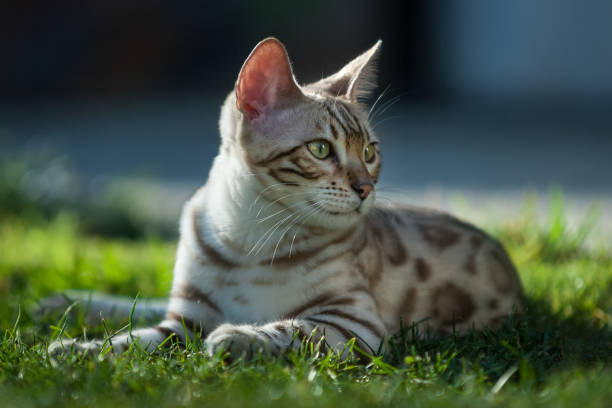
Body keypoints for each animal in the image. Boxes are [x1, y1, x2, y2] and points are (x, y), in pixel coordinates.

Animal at [50, 37, 524, 356]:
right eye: (321, 149)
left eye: (369, 153)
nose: (366, 189)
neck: (246, 240)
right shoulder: (185, 321)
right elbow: (129, 341)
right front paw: (78, 351)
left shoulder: (352, 321)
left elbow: (287, 328)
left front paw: (238, 335)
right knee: (141, 306)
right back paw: (66, 303)